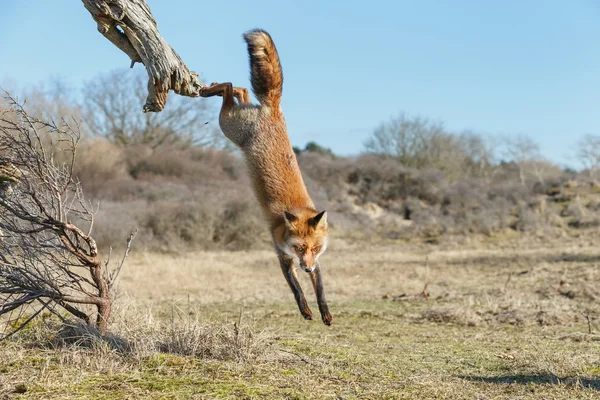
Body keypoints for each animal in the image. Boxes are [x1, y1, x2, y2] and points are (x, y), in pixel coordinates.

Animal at [200, 30, 332, 324]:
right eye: (299, 249)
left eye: (315, 249)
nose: (306, 268)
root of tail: (273, 110)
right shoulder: (281, 255)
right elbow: (296, 288)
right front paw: (305, 310)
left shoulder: (316, 263)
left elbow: (320, 287)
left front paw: (325, 312)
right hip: (228, 126)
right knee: (230, 87)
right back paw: (210, 88)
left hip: (235, 120)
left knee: (242, 90)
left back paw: (219, 88)